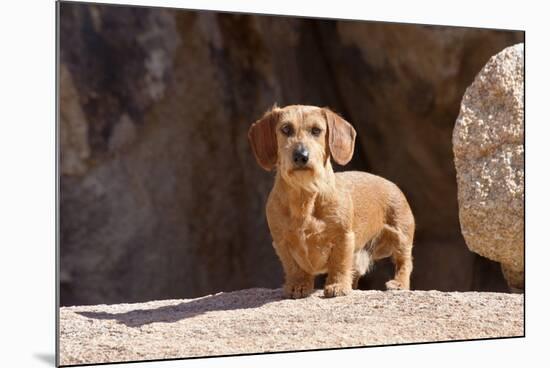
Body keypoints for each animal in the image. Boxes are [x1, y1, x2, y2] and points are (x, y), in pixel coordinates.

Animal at [249, 104, 414, 300]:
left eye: (316, 130)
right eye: (286, 129)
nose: (301, 156)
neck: (306, 196)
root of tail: (393, 184)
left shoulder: (343, 237)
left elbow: (339, 263)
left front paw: (337, 285)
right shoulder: (281, 242)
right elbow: (293, 267)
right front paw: (298, 285)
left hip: (400, 235)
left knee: (404, 261)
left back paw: (399, 283)